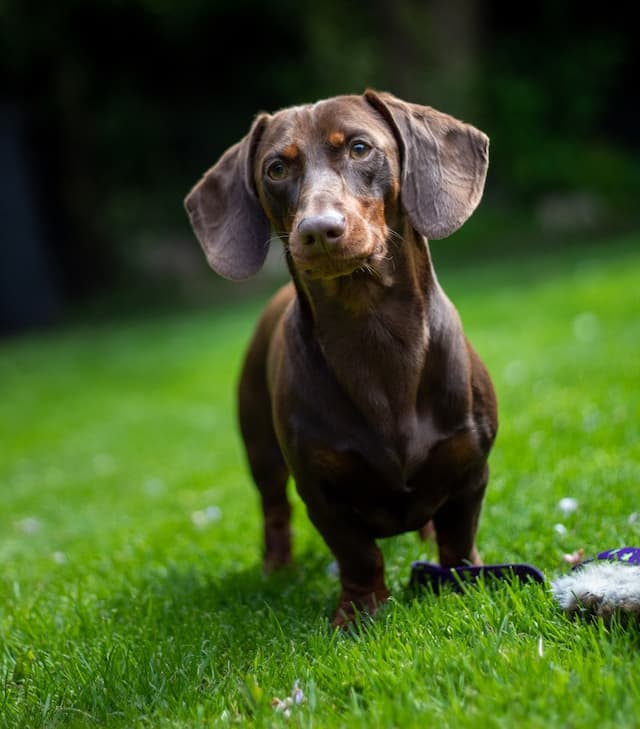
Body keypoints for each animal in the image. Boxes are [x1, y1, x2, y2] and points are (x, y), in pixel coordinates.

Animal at [182, 91, 498, 624]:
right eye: (275, 168)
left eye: (359, 147)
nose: (317, 230)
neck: (374, 333)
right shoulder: (320, 489)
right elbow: (358, 552)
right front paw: (360, 611)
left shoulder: (471, 467)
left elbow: (457, 538)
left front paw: (460, 584)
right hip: (260, 449)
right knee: (274, 510)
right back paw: (276, 569)